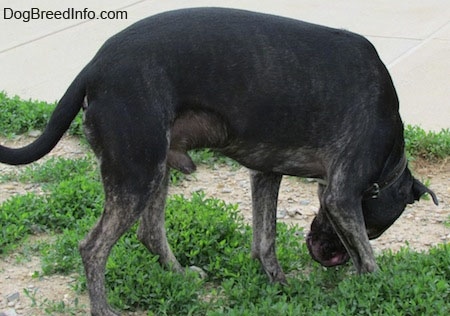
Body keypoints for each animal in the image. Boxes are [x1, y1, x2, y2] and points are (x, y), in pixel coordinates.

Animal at [0, 8, 436, 316]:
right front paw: (376, 290)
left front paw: (278, 283)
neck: (390, 158)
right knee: (93, 248)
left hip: (155, 168)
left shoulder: (266, 174)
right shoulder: (342, 197)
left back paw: (179, 277)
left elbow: (265, 240)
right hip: (136, 172)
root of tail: (94, 67)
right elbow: (368, 260)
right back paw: (104, 309)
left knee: (150, 233)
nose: (329, 259)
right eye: (375, 229)